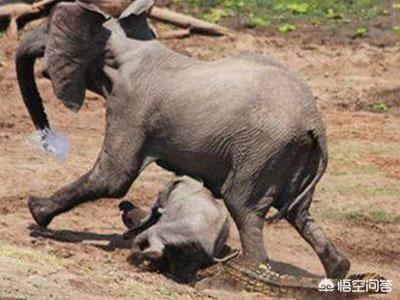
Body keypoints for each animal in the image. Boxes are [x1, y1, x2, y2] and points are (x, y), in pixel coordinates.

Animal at [15, 0, 350, 278]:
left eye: (48, 28)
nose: (48, 139)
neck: (127, 46)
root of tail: (314, 123)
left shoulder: (131, 105)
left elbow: (113, 177)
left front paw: (36, 213)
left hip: (261, 150)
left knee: (244, 207)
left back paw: (250, 271)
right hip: (292, 155)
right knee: (299, 213)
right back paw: (338, 270)